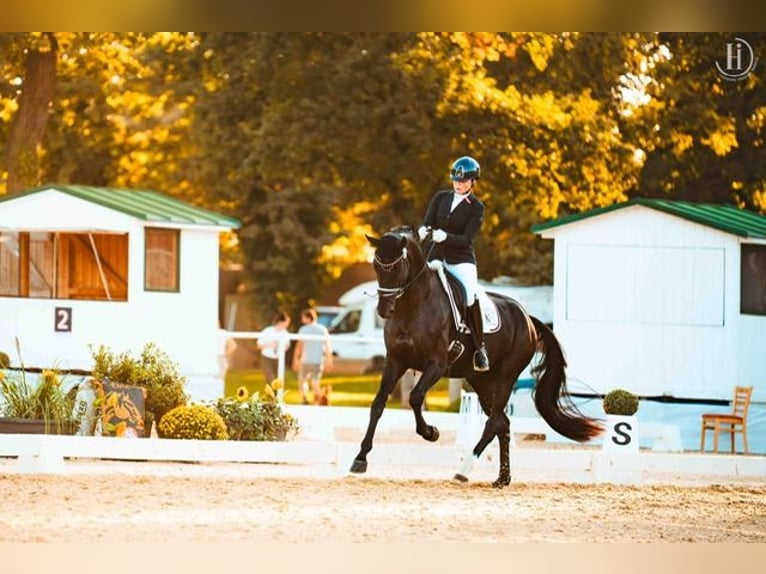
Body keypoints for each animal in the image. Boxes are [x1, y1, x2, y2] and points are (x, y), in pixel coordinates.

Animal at [349, 225, 603, 487]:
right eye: (376, 266)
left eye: (398, 267)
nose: (383, 310)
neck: (414, 305)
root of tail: (528, 319)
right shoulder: (395, 362)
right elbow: (378, 404)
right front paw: (360, 458)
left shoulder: (436, 365)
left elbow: (416, 397)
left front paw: (431, 432)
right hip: (481, 381)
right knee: (503, 423)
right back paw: (502, 478)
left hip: (505, 379)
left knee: (493, 422)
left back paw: (464, 469)